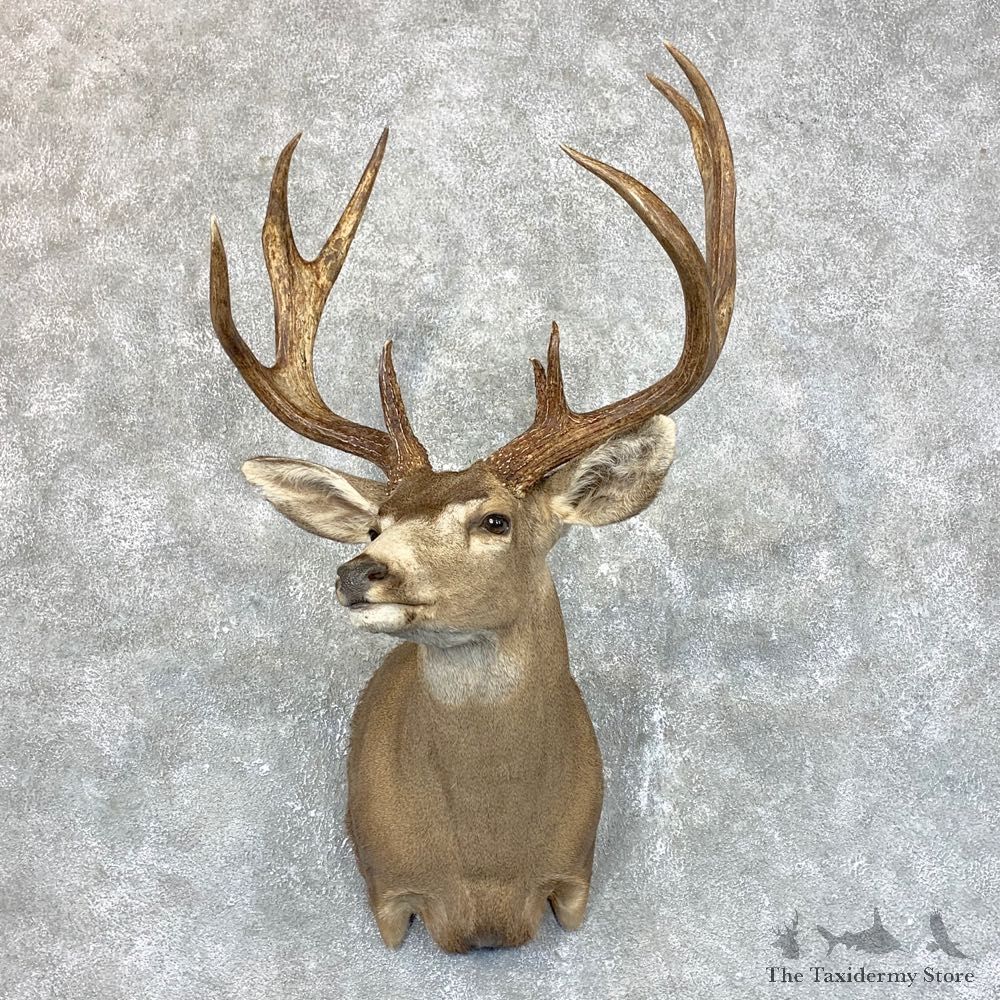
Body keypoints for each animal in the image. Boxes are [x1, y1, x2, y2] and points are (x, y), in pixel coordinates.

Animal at [208, 43, 735, 954]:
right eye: (374, 523)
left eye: (496, 519)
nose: (361, 570)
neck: (488, 868)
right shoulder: (391, 895)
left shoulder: (574, 880)